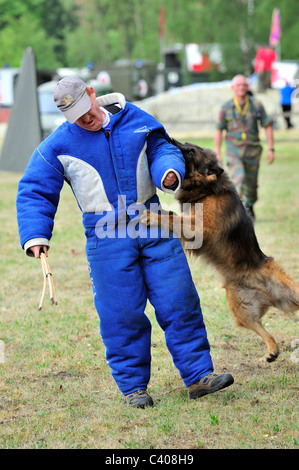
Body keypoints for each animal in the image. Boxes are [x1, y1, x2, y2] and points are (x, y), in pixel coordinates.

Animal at [141, 138, 299, 362]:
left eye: (190, 151)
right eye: (186, 144)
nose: (168, 139)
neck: (208, 189)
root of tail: (261, 284)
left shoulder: (199, 228)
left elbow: (173, 217)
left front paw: (155, 216)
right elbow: (175, 218)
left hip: (288, 289)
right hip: (240, 310)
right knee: (262, 330)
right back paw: (271, 351)